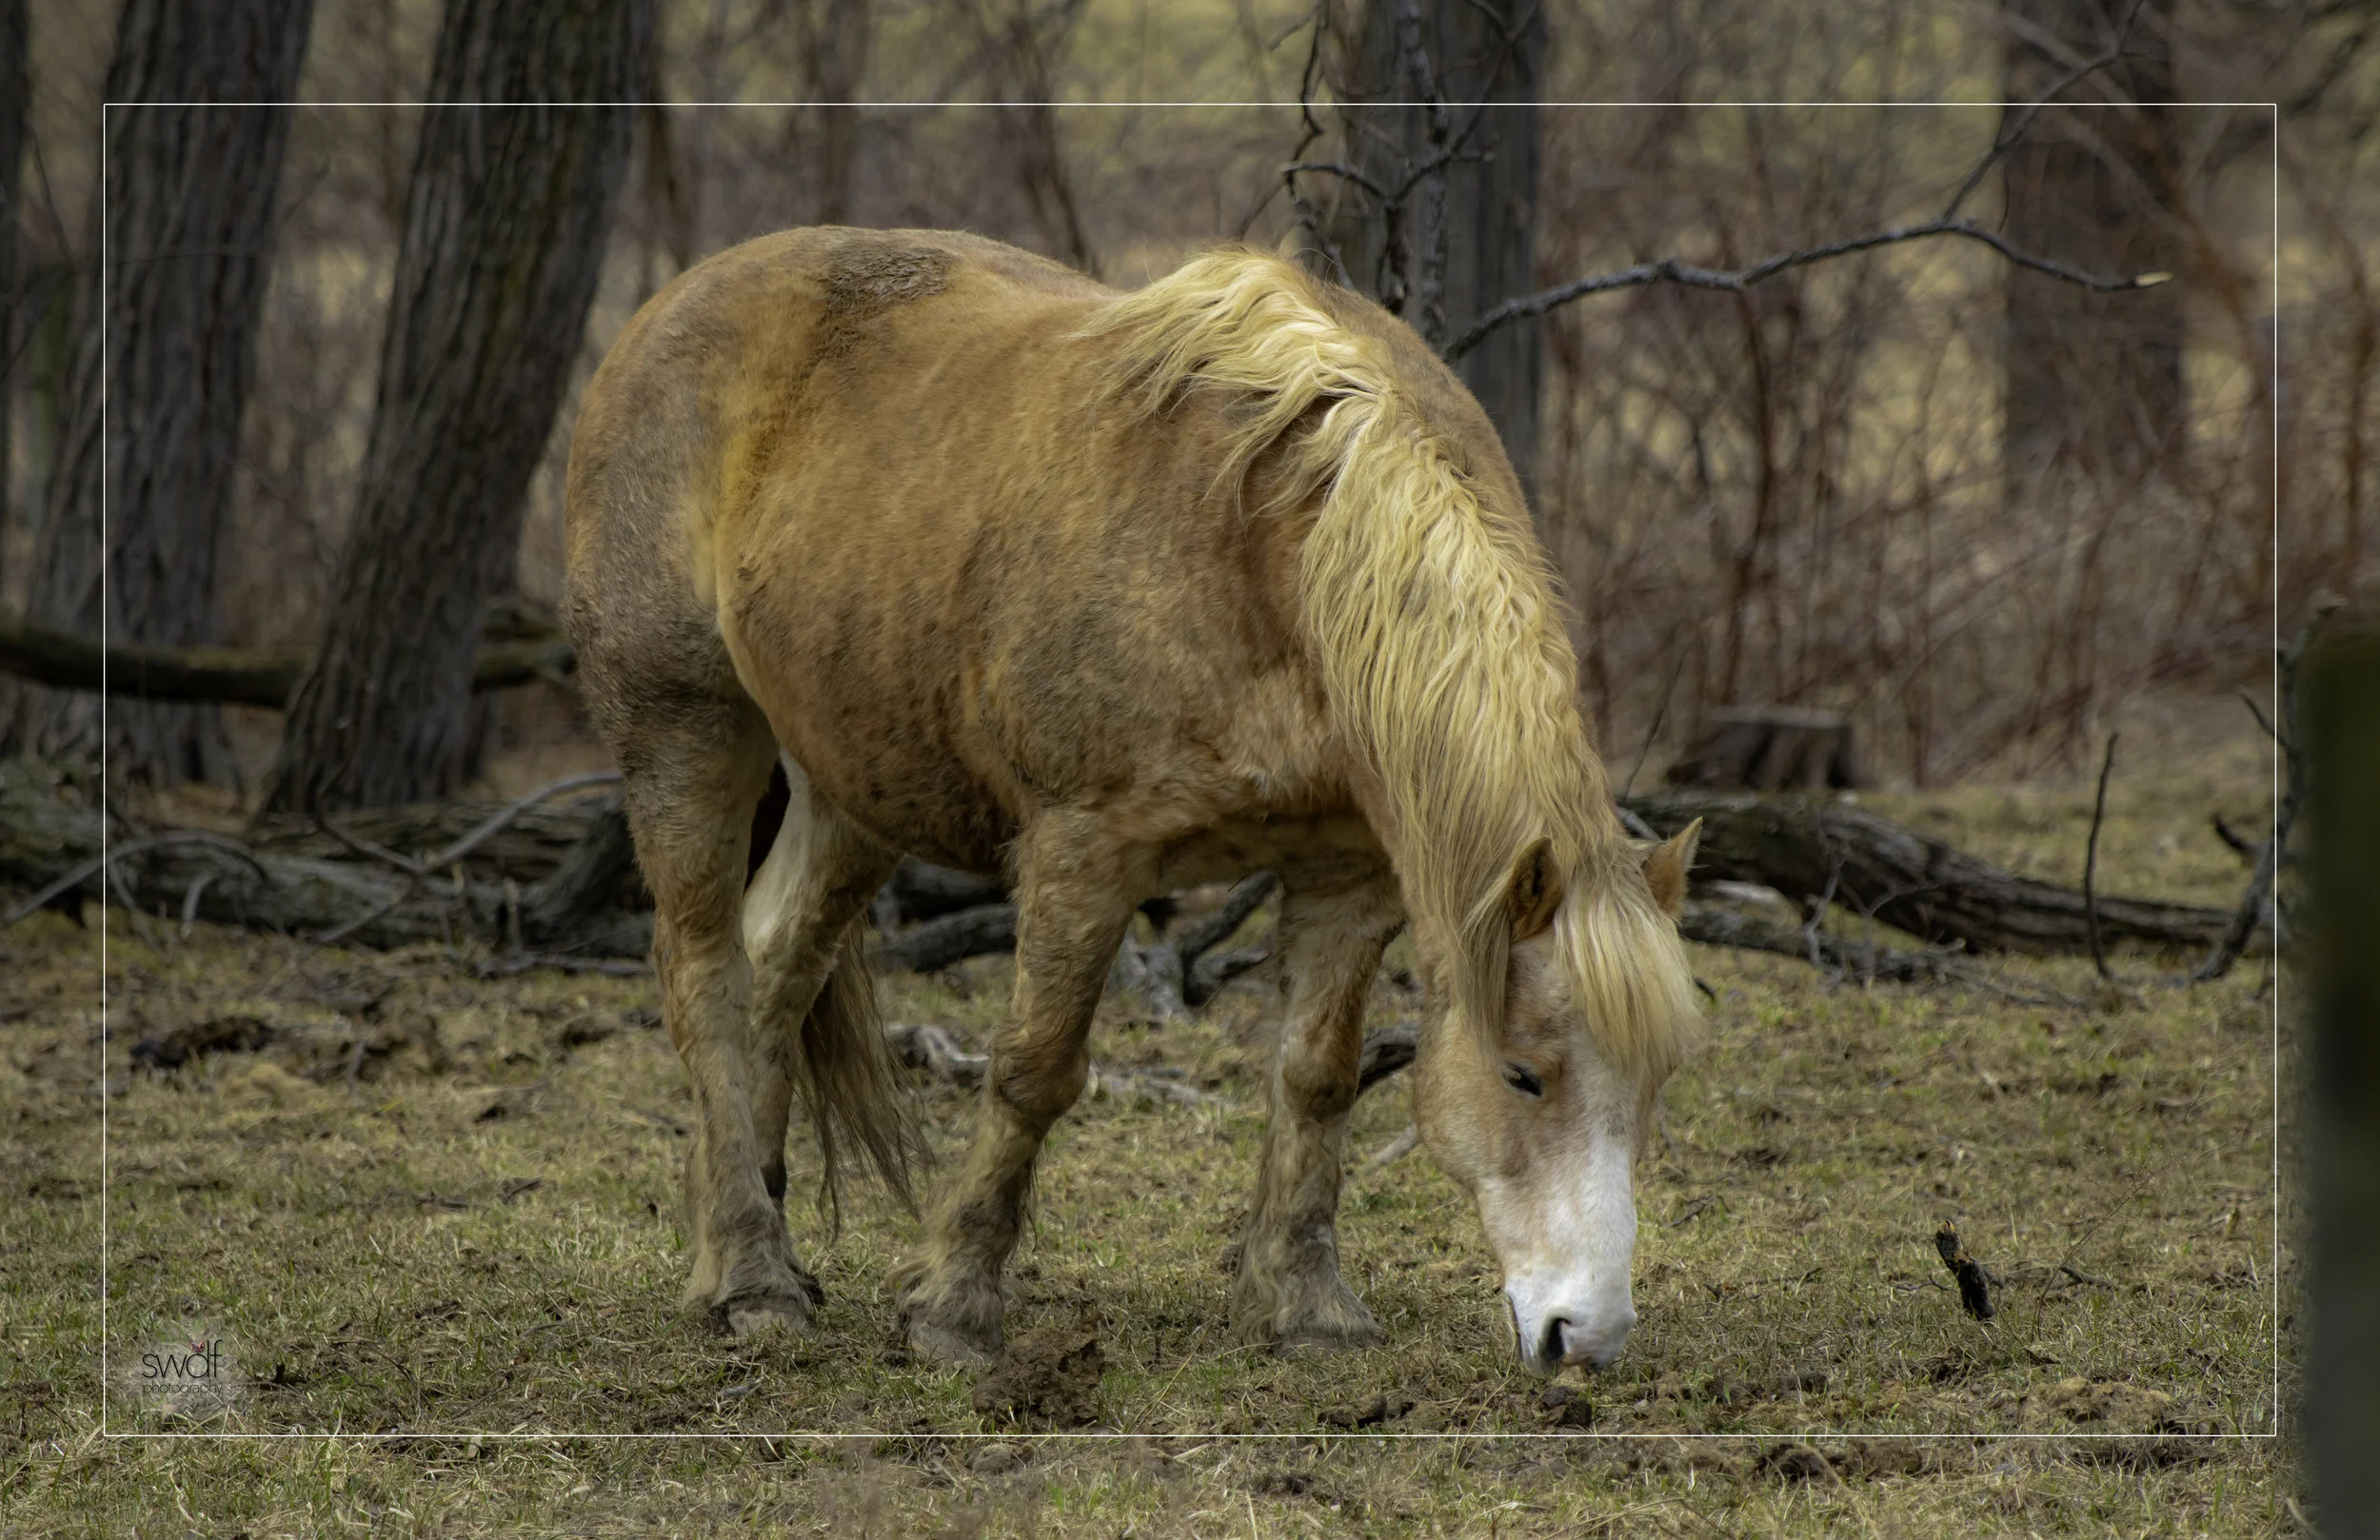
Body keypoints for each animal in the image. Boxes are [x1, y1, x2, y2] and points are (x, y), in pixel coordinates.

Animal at [562, 226, 1703, 1375]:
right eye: (1522, 1076)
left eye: (1656, 1082)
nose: (1586, 1334)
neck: (1276, 557)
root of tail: (666, 312)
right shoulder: (1086, 855)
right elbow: (1035, 1074)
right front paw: (953, 1310)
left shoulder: (1350, 872)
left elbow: (1318, 1076)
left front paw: (1306, 1305)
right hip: (686, 733)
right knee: (705, 978)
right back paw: (751, 1280)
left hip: (856, 785)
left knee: (777, 965)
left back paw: (753, 1248)